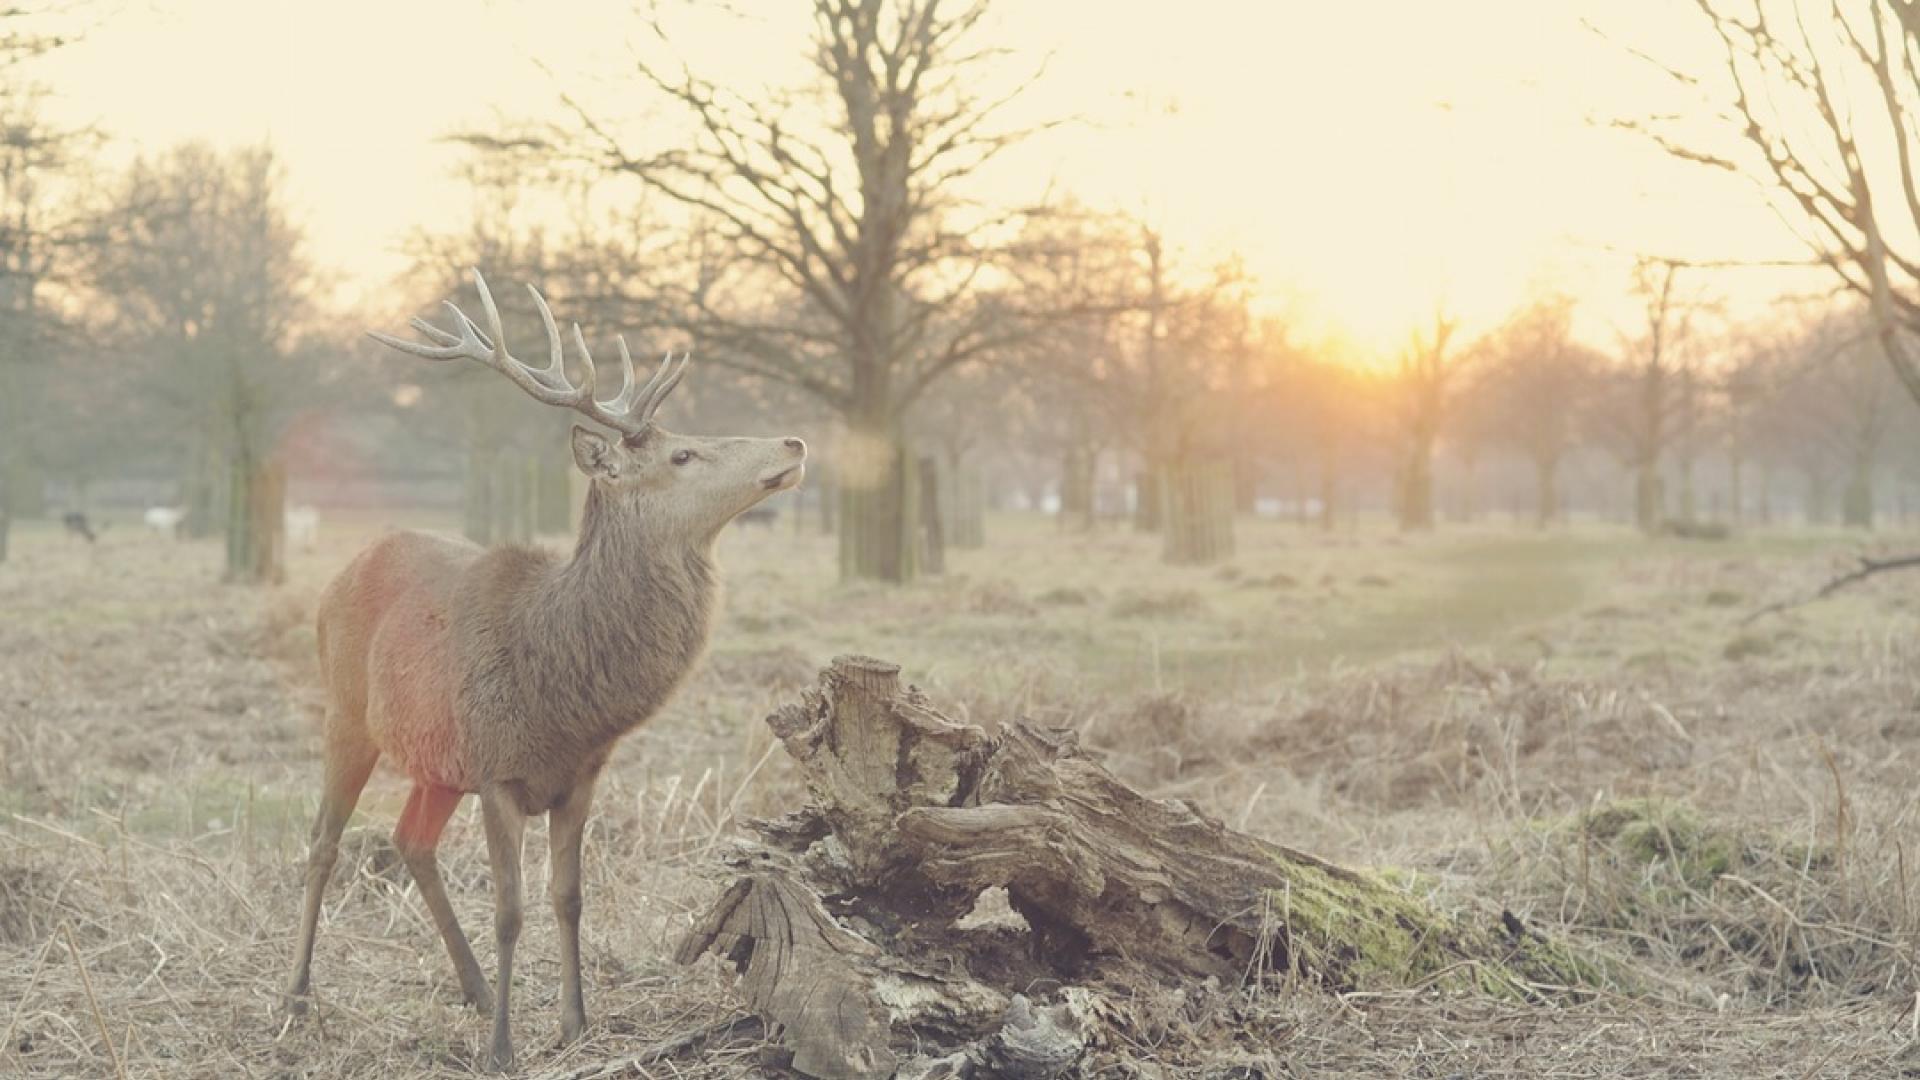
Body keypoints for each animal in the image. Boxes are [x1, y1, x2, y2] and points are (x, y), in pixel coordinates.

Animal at [282, 270, 806, 1071]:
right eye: (682, 456)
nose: (794, 439)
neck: (561, 691)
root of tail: (345, 567)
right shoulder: (498, 772)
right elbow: (510, 909)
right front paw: (504, 1047)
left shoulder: (579, 775)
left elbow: (568, 896)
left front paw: (574, 1023)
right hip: (345, 713)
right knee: (322, 841)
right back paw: (298, 996)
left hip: (438, 761)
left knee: (410, 840)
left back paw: (469, 986)